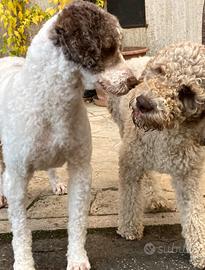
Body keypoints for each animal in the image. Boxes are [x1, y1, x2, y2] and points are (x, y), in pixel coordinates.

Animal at [0, 1, 138, 268]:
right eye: (108, 47)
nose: (134, 81)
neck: (52, 103)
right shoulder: (17, 177)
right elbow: (20, 230)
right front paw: (23, 263)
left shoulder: (81, 168)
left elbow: (77, 222)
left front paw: (77, 259)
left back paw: (56, 184)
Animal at [108, 43, 205, 268]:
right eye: (160, 71)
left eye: (186, 91)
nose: (143, 102)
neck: (165, 131)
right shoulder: (130, 162)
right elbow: (129, 198)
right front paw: (128, 228)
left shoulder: (189, 176)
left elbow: (194, 213)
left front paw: (200, 249)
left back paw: (156, 198)